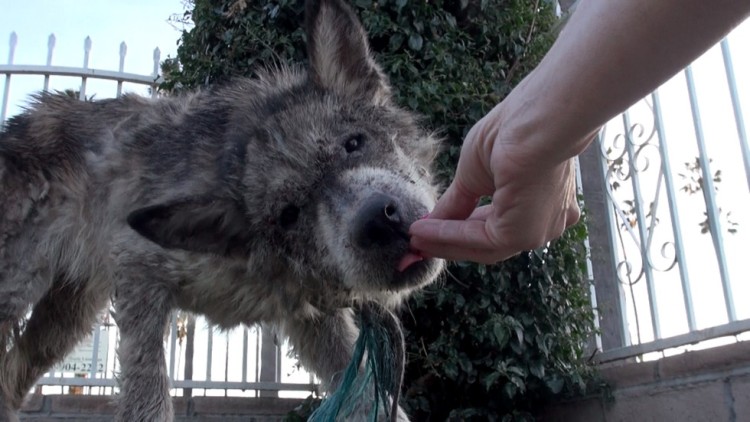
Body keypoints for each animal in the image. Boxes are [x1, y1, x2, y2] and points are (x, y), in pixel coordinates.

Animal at [0, 0, 446, 420]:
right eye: (289, 215)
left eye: (354, 143)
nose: (377, 222)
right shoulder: (138, 274)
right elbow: (148, 395)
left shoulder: (317, 323)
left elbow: (374, 397)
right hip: (18, 296)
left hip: (65, 322)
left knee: (11, 374)